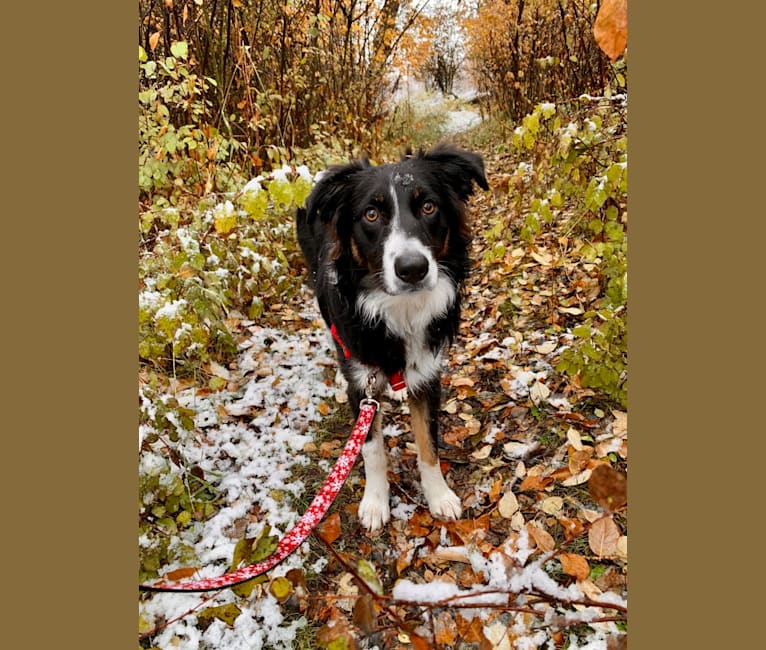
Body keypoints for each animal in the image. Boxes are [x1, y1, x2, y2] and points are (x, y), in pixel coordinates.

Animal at [296, 144, 488, 528]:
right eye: (371, 214)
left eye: (428, 206)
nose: (412, 269)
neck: (399, 310)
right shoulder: (362, 384)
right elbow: (372, 450)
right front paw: (374, 502)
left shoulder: (428, 375)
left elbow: (428, 444)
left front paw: (439, 495)